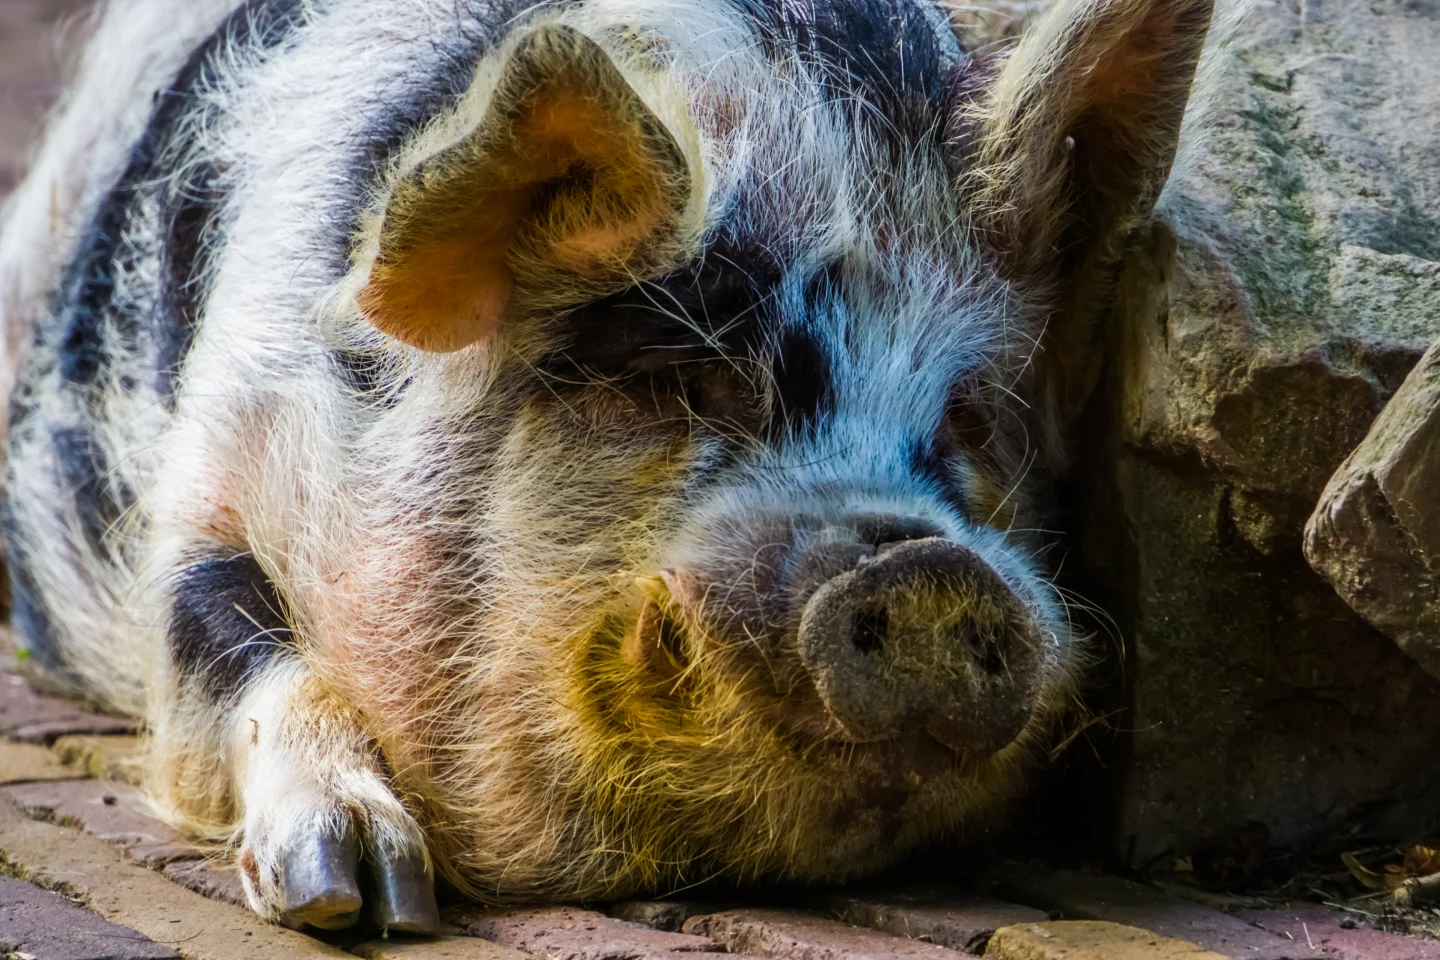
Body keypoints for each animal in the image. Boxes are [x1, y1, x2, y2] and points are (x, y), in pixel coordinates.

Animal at [0, 0, 1215, 938]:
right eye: (674, 380)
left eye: (971, 417)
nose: (923, 570)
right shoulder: (219, 454)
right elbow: (230, 638)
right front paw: (364, 899)